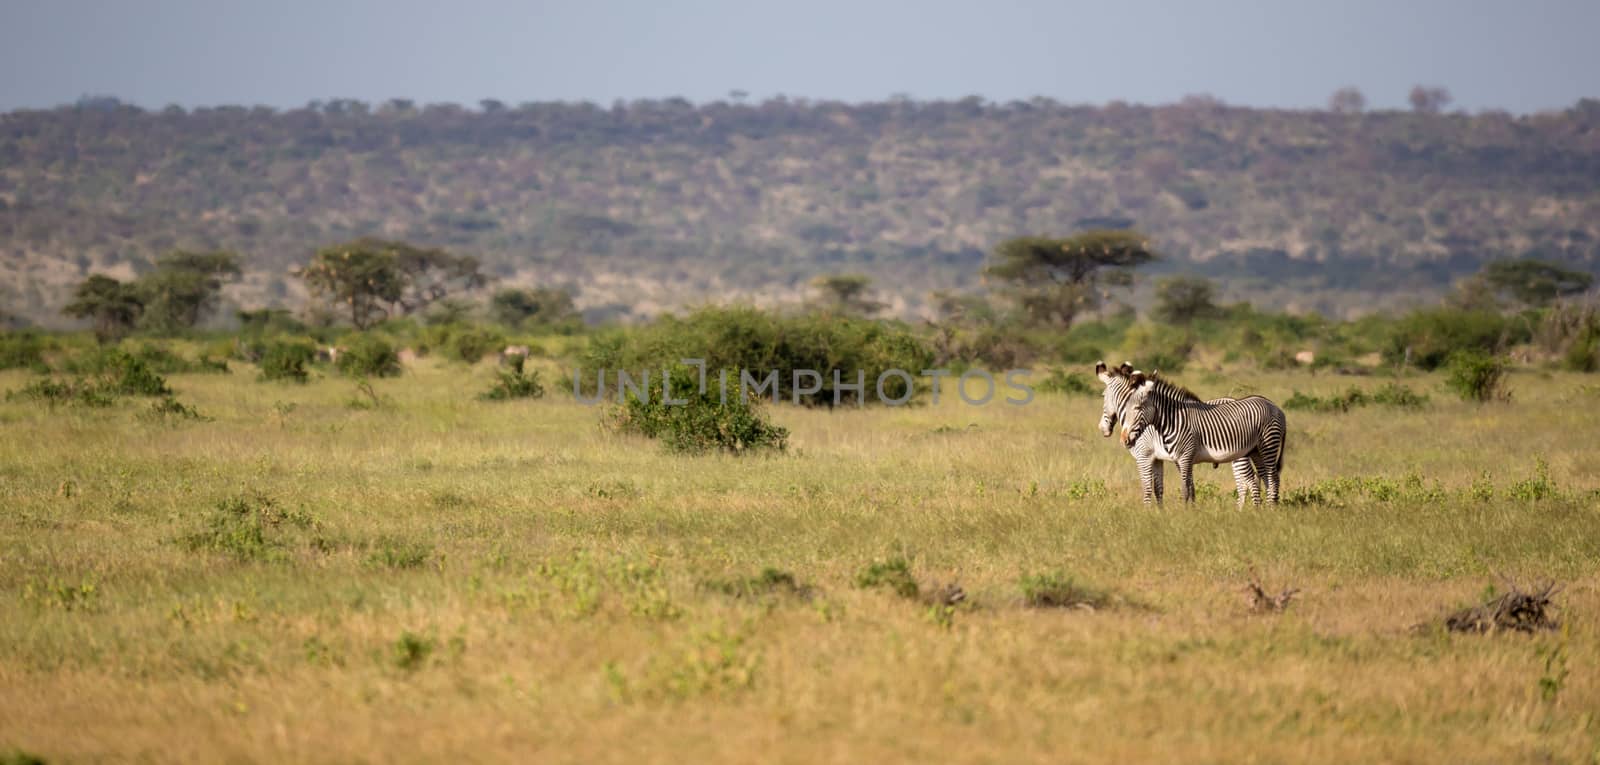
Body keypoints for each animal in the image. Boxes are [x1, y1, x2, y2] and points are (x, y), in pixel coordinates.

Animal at [1113, 369, 1286, 505]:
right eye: (1125, 408)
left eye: (1137, 408)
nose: (1123, 440)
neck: (1174, 421)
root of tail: (1276, 407)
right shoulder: (1181, 459)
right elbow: (1191, 489)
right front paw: (1192, 512)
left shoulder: (1184, 457)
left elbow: (1184, 490)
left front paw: (1184, 515)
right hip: (1256, 450)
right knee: (1265, 478)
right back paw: (1262, 511)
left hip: (1268, 445)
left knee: (1273, 479)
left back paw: (1271, 510)